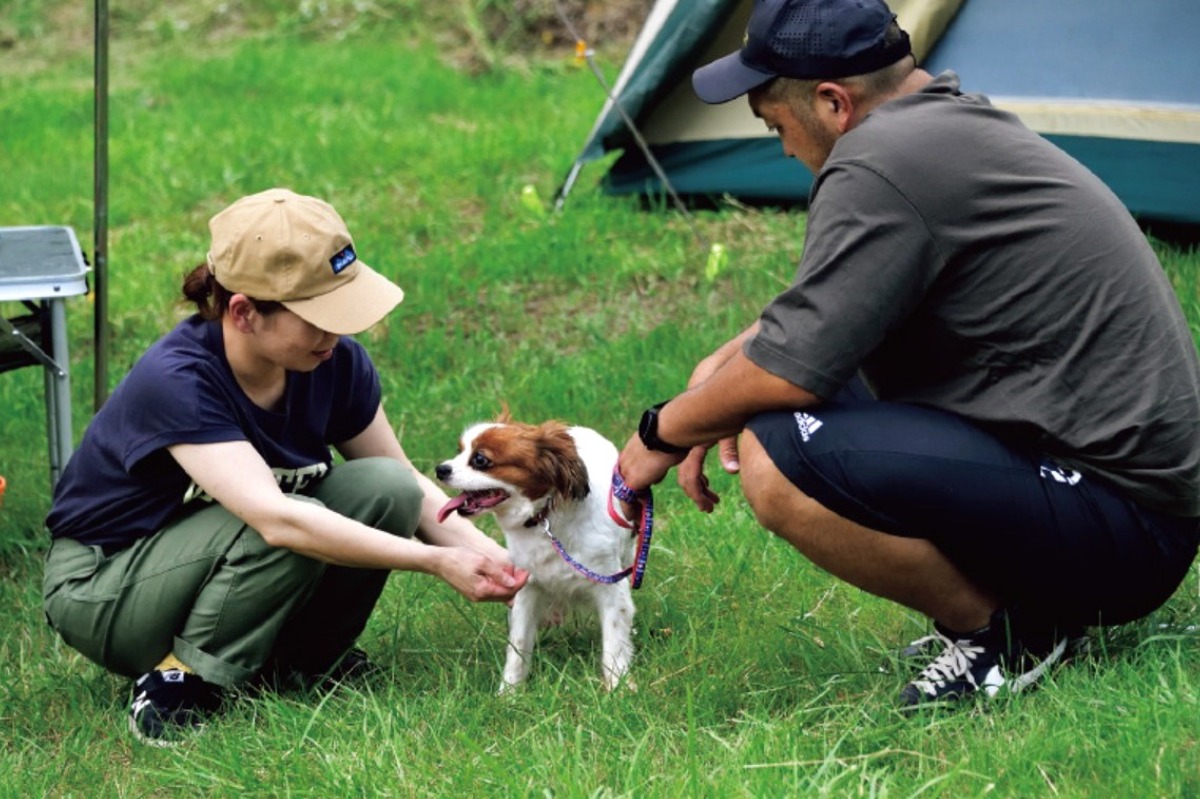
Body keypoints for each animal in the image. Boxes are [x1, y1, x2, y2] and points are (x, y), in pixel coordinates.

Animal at [434, 417, 638, 691]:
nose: (441, 469)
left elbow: (614, 645)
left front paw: (618, 689)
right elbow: (518, 645)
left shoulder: (610, 588)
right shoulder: (527, 589)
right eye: (459, 450)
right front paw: (509, 692)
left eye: (480, 460)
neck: (543, 518)